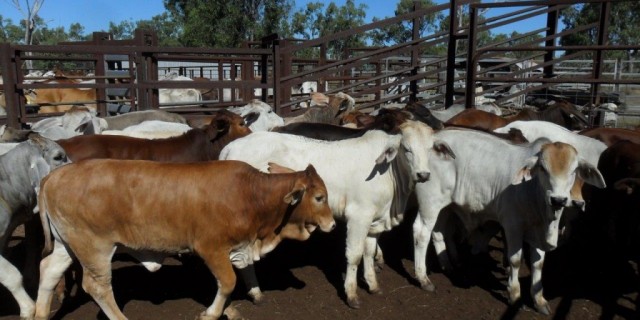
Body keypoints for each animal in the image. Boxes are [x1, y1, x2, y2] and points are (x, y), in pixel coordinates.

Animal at [34, 160, 336, 320]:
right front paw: (212, 312)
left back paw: (39, 313)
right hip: (95, 248)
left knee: (48, 270)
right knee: (97, 287)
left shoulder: (239, 245)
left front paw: (250, 296)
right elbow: (228, 281)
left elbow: (244, 270)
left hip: (67, 244)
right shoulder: (211, 248)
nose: (332, 224)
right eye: (319, 197)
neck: (252, 197)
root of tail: (54, 174)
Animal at [220, 109, 444, 308]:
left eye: (430, 148)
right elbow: (354, 254)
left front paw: (373, 285)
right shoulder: (358, 216)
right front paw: (352, 294)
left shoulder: (375, 220)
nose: (423, 175)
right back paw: (254, 292)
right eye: (406, 149)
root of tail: (231, 147)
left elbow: (369, 252)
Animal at [410, 129, 604, 316]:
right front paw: (515, 296)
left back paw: (449, 264)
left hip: (445, 207)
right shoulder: (512, 226)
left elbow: (538, 263)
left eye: (574, 170)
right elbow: (515, 260)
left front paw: (539, 301)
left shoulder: (538, 233)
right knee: (421, 233)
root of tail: (434, 140)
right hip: (430, 203)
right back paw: (423, 278)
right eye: (543, 168)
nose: (558, 200)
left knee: (439, 232)